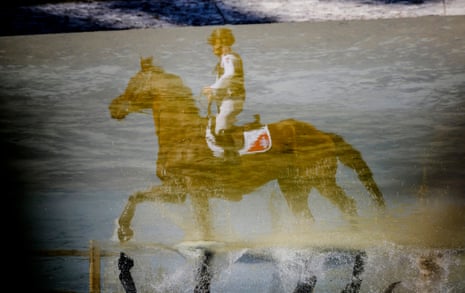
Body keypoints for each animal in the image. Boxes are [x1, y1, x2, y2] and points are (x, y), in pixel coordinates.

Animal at [109, 57, 384, 242]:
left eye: (133, 83)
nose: (113, 107)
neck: (182, 135)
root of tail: (323, 134)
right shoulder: (176, 189)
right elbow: (136, 195)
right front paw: (123, 230)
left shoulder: (196, 190)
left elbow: (204, 225)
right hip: (294, 186)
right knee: (307, 217)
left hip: (320, 179)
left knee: (347, 206)